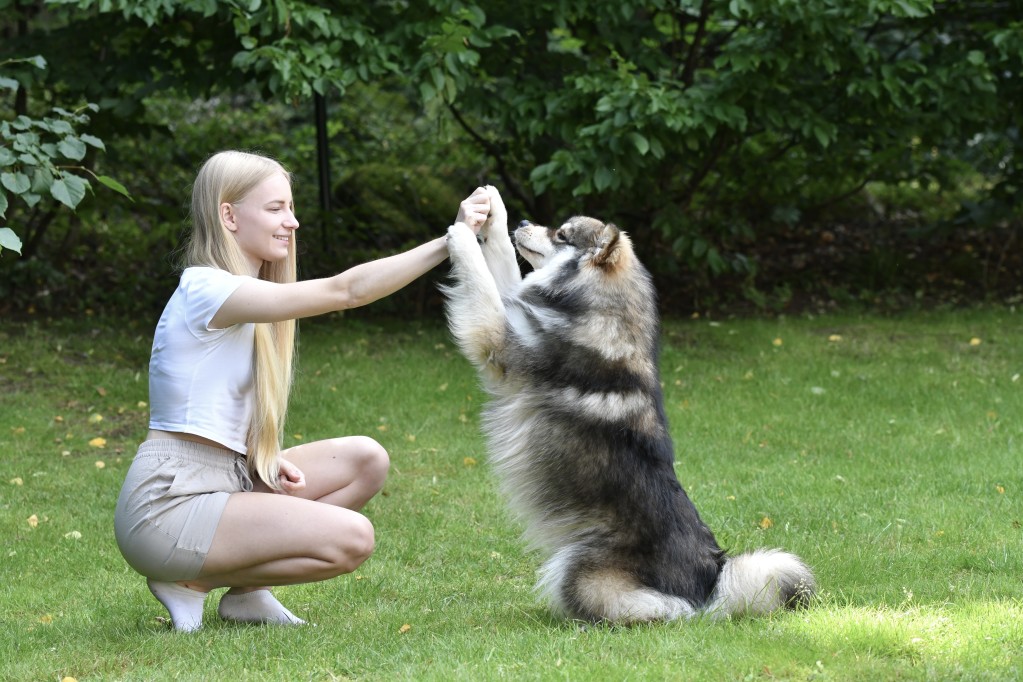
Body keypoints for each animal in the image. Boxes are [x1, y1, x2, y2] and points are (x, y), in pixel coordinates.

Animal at [441, 188, 814, 625]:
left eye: (562, 234)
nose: (523, 222)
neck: (601, 311)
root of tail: (711, 585)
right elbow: (500, 267)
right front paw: (491, 214)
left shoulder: (499, 342)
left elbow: (483, 286)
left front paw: (461, 236)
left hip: (577, 568)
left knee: (666, 611)